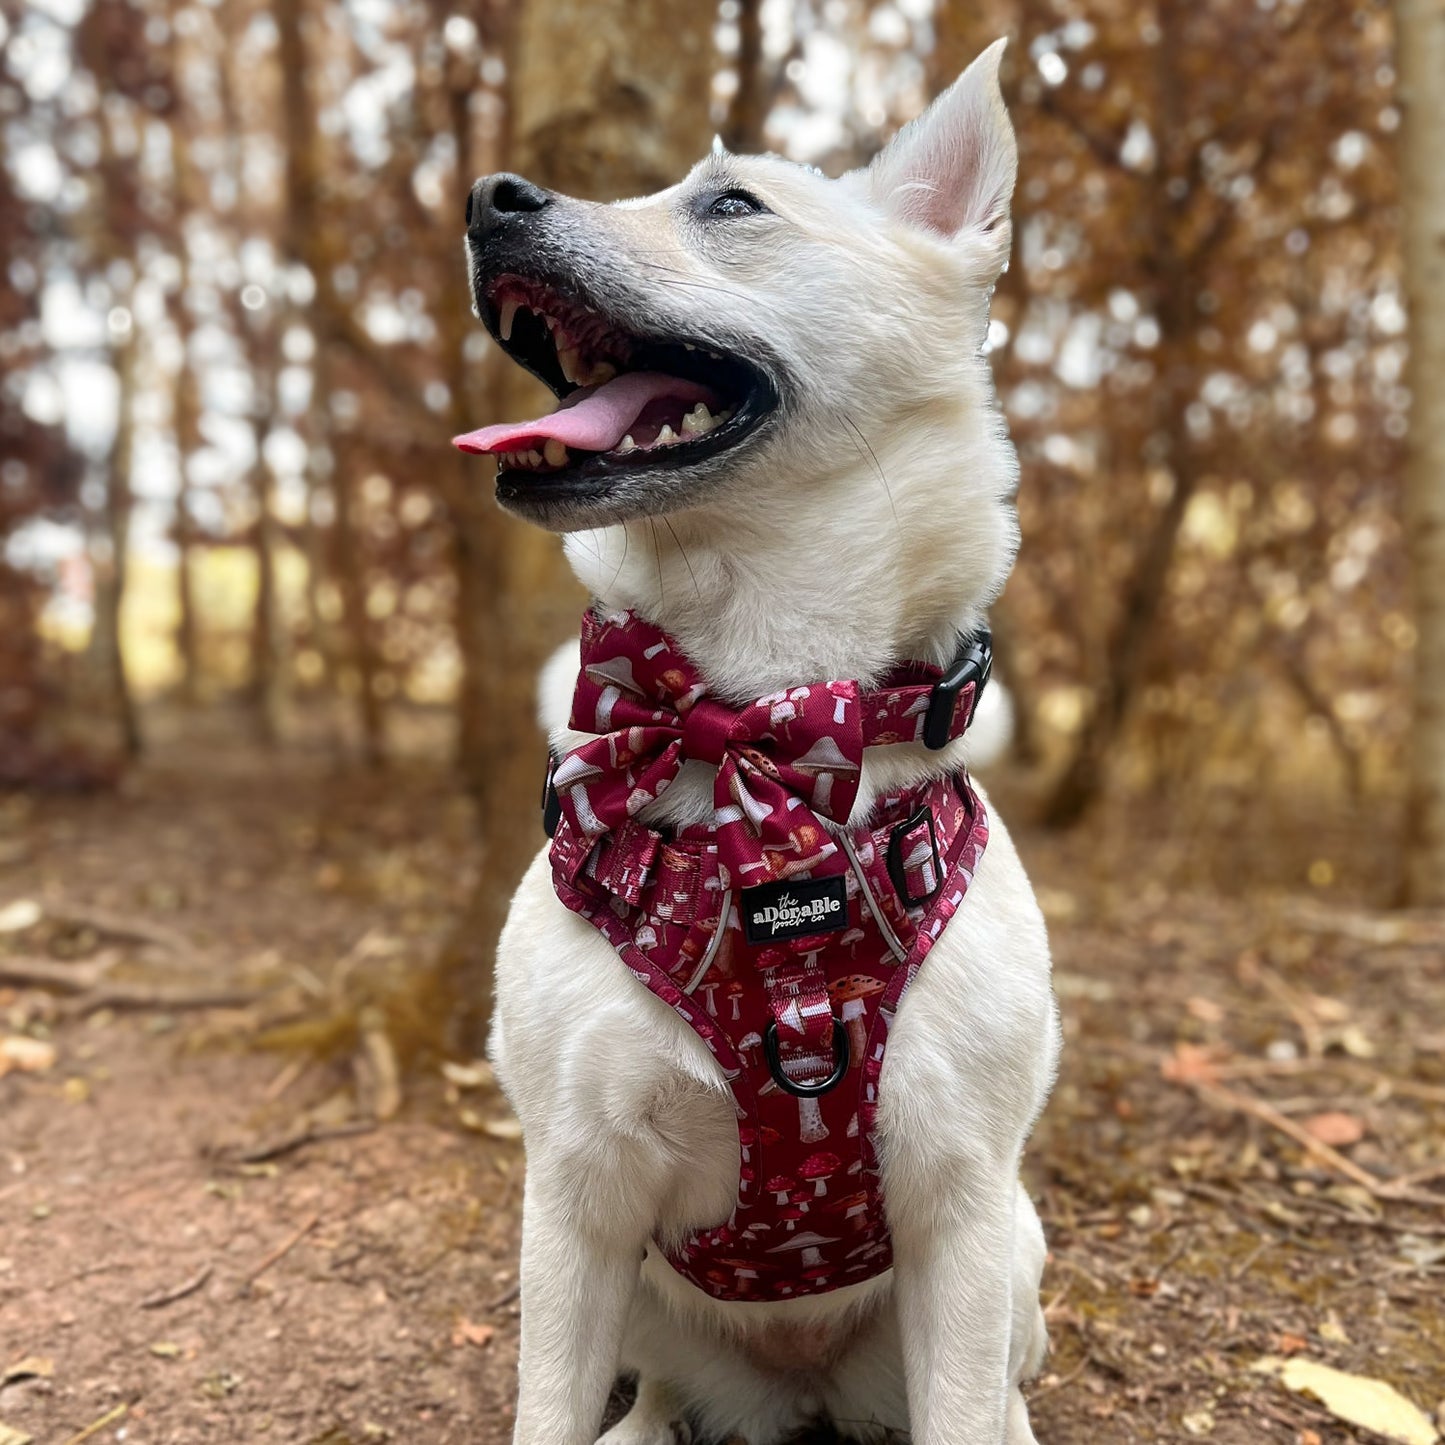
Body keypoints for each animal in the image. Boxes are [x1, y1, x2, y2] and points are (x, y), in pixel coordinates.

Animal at [456, 42, 1069, 1445]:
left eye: (732, 204)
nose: (485, 196)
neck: (761, 727)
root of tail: (795, 1387)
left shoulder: (959, 1203)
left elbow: (965, 1409)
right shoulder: (573, 1199)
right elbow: (546, 1406)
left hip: (1013, 1252)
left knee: (996, 1395)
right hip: (639, 1295)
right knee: (656, 1388)